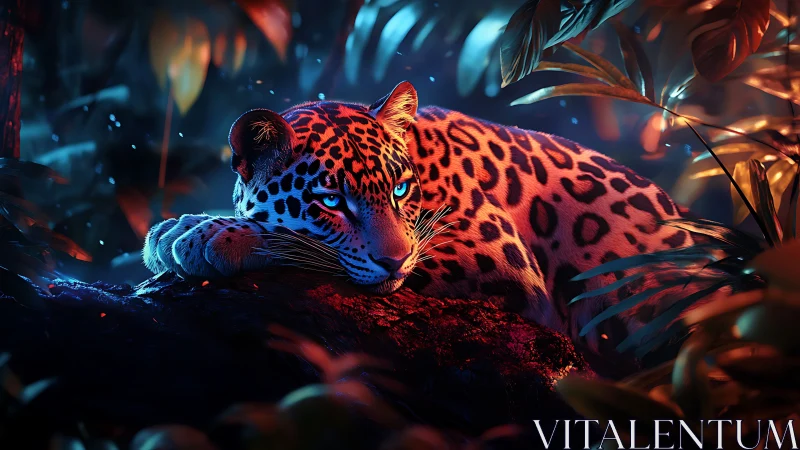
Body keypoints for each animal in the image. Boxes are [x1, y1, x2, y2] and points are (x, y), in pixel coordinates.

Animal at [142, 81, 699, 350]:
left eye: (400, 189)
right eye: (330, 202)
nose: (394, 263)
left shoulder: (496, 254)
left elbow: (303, 245)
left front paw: (204, 234)